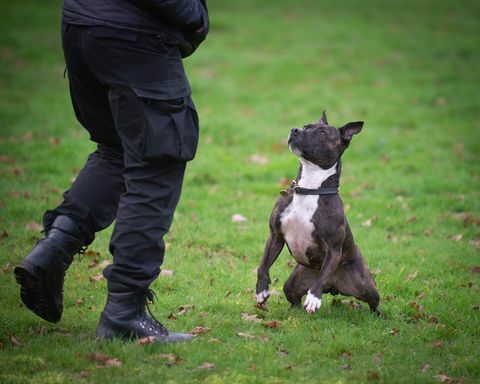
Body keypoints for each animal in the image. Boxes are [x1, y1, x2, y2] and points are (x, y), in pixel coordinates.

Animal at [253, 110, 380, 312]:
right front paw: (262, 290)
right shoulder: (275, 235)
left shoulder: (333, 250)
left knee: (374, 303)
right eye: (306, 126)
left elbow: (322, 276)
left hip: (366, 285)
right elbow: (263, 264)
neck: (310, 188)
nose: (295, 130)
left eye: (322, 132)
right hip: (294, 282)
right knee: (293, 297)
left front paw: (313, 297)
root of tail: (333, 287)